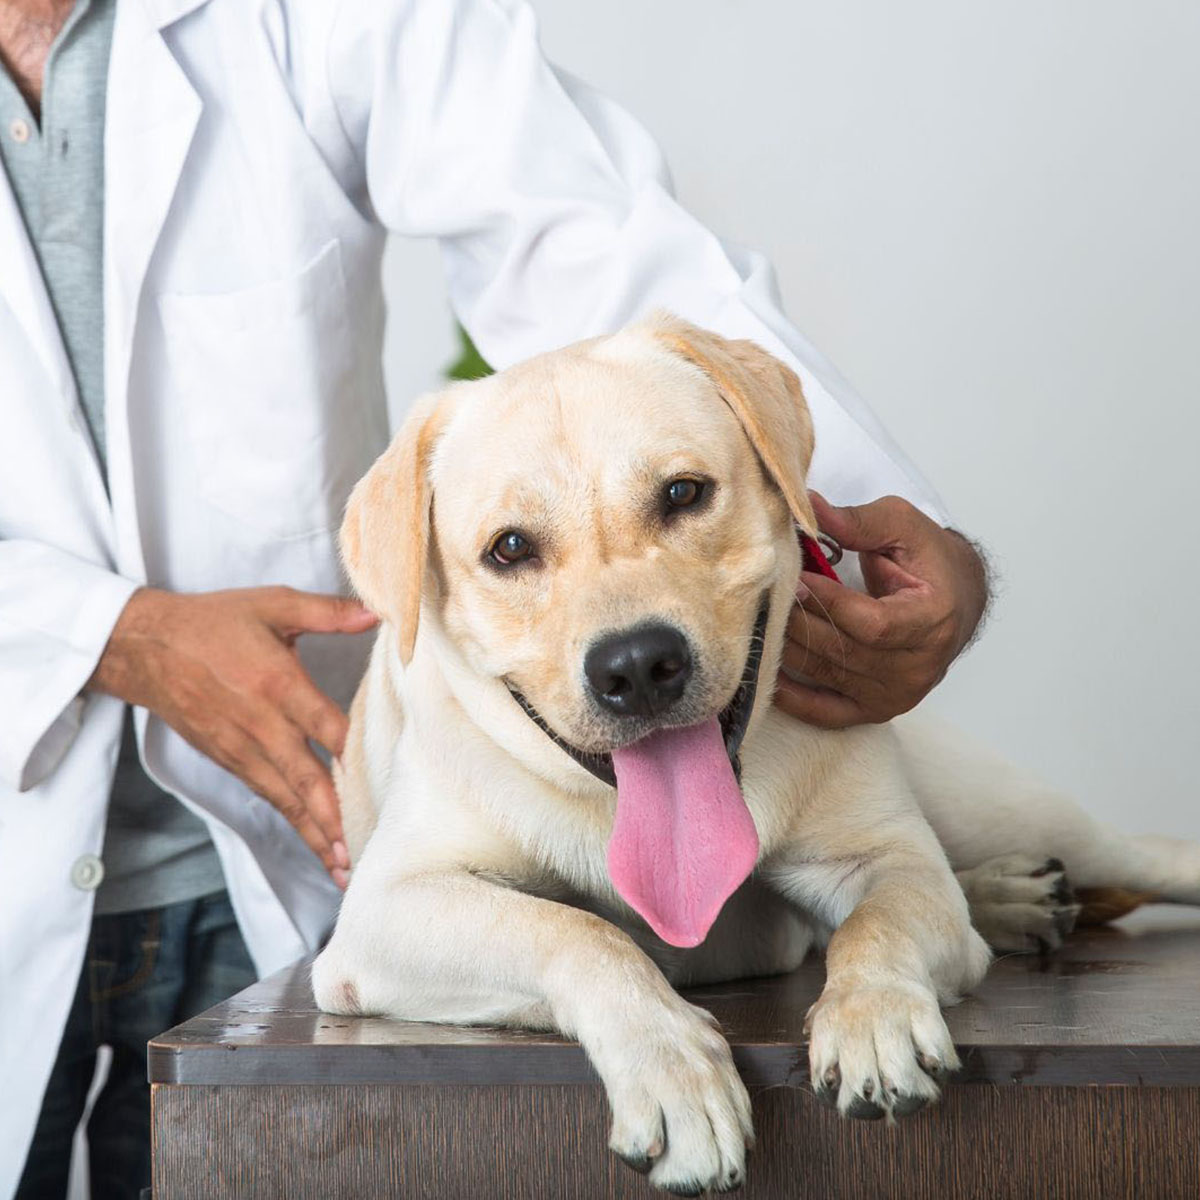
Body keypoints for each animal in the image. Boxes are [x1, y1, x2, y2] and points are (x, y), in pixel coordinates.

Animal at [312, 314, 1200, 1195]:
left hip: (1001, 809)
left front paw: (873, 1017)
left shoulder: (884, 858)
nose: (637, 666)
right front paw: (673, 1072)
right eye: (508, 549)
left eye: (682, 493)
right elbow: (576, 933)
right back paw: (1014, 898)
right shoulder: (386, 912)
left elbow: (877, 925)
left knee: (1139, 852)